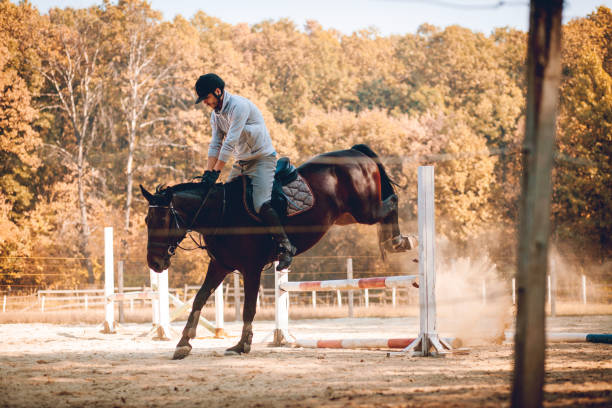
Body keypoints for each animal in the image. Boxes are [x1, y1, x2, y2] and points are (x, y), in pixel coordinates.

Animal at [141, 143, 414, 360]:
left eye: (163, 221)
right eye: (147, 220)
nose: (154, 263)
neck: (222, 211)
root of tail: (354, 151)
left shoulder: (251, 268)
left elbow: (249, 307)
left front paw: (242, 345)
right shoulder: (220, 265)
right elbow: (199, 299)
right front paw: (183, 343)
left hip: (364, 210)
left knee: (392, 202)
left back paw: (398, 241)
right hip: (348, 216)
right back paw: (392, 241)